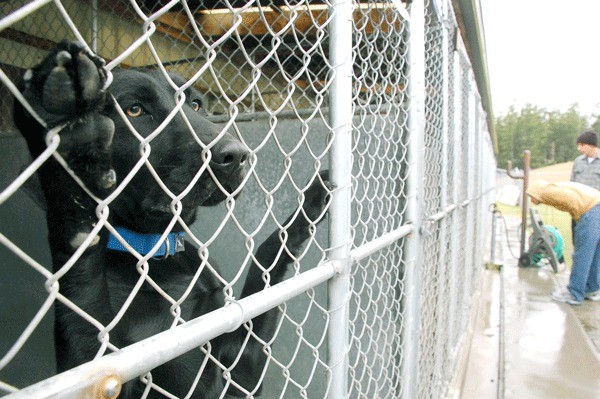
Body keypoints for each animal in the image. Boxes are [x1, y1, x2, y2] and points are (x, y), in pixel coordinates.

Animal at [12, 42, 332, 398]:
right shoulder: (102, 371)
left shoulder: (241, 372)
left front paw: (310, 205)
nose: (238, 154)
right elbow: (84, 304)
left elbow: (263, 271)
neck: (159, 254)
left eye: (194, 103)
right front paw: (71, 148)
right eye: (135, 110)